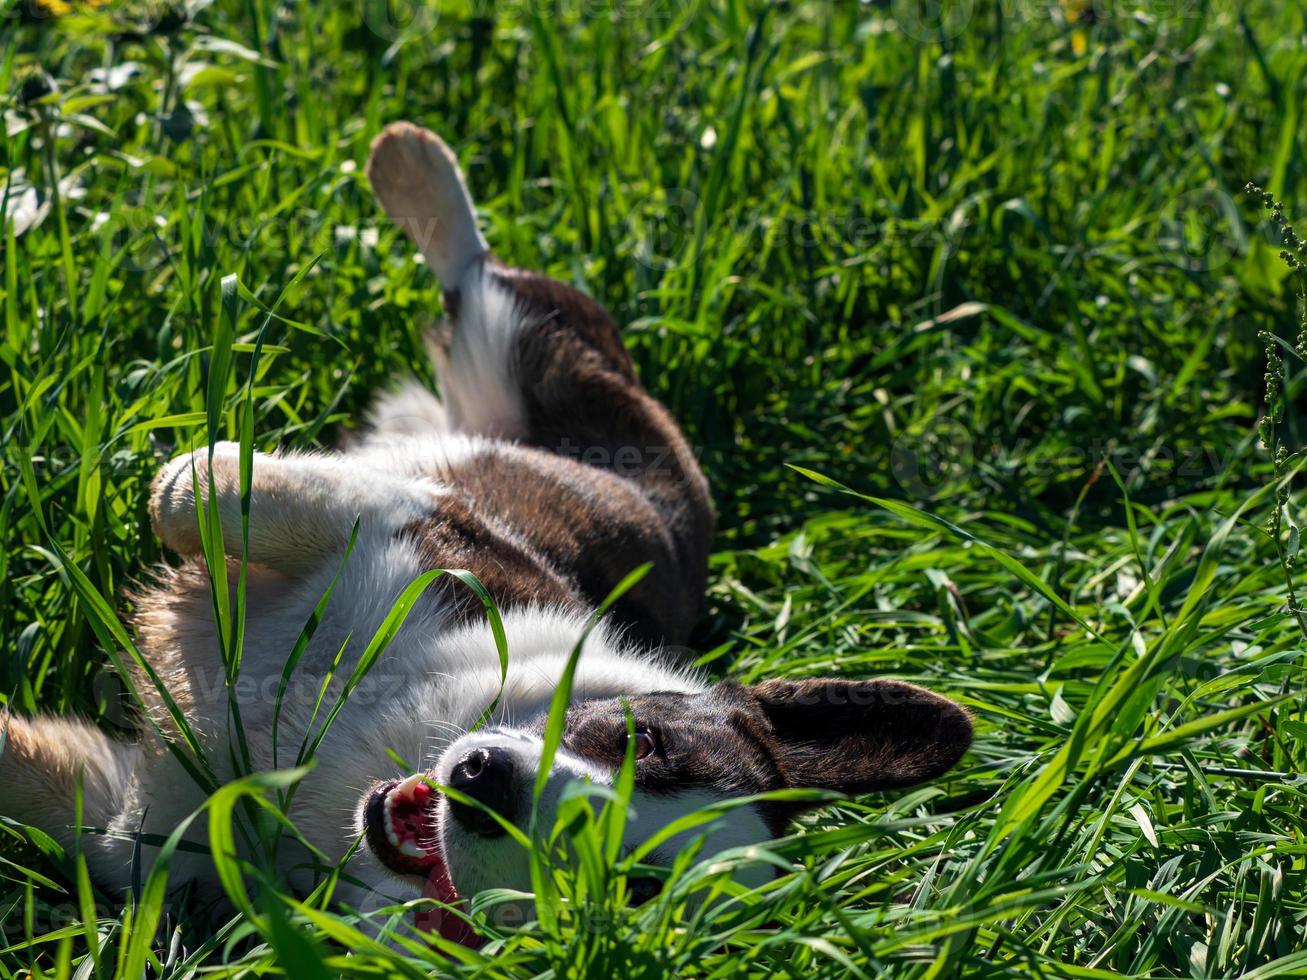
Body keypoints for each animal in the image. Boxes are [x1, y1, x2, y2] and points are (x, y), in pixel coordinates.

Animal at [0, 120, 972, 946]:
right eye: (645, 743)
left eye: (629, 887)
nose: (487, 782)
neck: (370, 761)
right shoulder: (408, 530)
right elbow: (196, 488)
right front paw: (193, 482)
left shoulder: (129, 822)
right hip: (533, 361)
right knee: (481, 276)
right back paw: (406, 157)